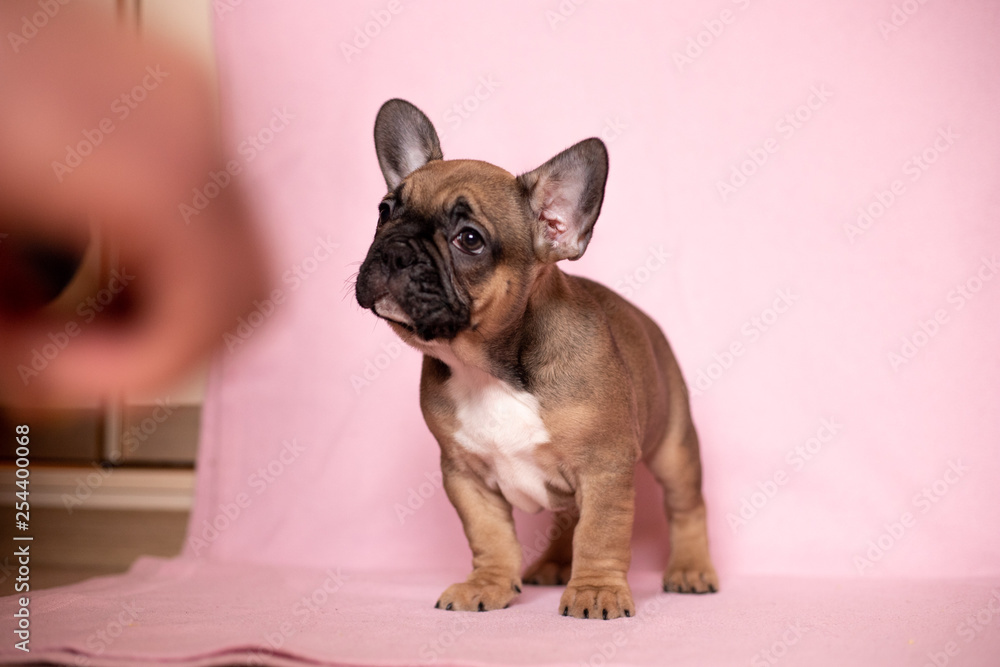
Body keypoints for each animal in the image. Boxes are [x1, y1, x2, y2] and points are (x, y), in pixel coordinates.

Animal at [356, 99, 716, 620]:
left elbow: (600, 533)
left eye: (469, 239)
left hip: (673, 444)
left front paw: (595, 590)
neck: (490, 370)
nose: (395, 249)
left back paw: (690, 568)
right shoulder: (465, 476)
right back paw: (553, 564)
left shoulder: (605, 467)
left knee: (685, 505)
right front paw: (487, 584)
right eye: (385, 212)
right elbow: (490, 535)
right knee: (569, 518)